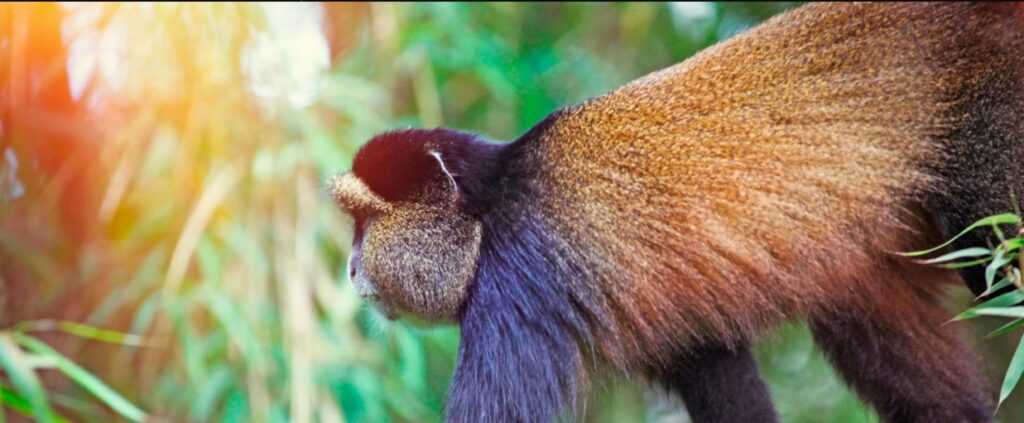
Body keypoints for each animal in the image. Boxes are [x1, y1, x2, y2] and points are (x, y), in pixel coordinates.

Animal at [329, 3, 1024, 422]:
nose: (351, 268)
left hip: (993, 135)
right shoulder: (679, 336)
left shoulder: (520, 283)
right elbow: (725, 380)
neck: (489, 210)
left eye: (366, 224)